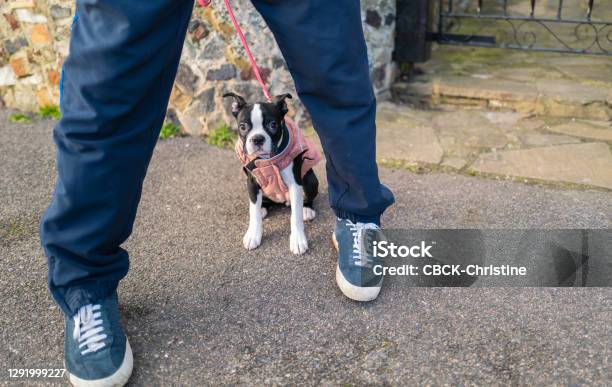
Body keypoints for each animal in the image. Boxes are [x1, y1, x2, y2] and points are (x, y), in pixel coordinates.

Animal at [224, 93, 320, 256]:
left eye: (273, 125)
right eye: (243, 126)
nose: (257, 139)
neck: (267, 160)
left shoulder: (295, 184)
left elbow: (295, 216)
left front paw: (298, 240)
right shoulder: (252, 182)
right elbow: (253, 212)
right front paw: (253, 234)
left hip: (310, 179)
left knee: (306, 198)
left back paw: (307, 209)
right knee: (262, 203)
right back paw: (263, 207)